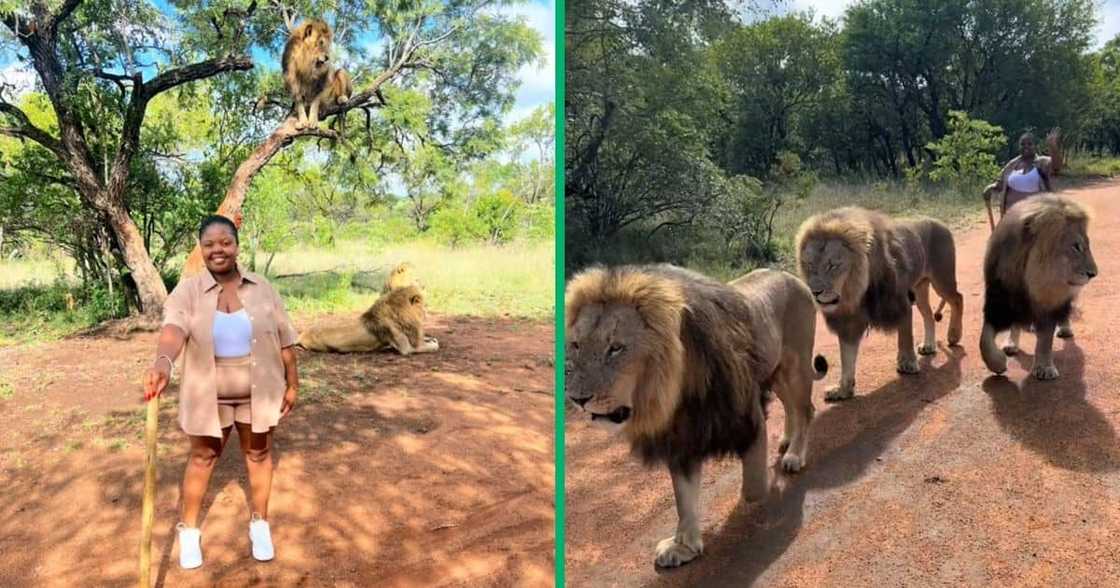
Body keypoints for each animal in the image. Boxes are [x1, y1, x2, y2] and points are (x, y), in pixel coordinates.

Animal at [297, 284, 436, 353]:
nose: (428, 314)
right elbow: (432, 347)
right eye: (426, 305)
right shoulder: (406, 349)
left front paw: (431, 338)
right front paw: (433, 343)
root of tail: (302, 334)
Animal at [564, 263, 828, 566]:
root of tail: (792, 277)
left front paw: (768, 495)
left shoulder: (749, 418)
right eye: (576, 345)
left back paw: (794, 455)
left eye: (616, 348)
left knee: (805, 408)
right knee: (790, 406)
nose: (577, 399)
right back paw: (787, 440)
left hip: (794, 366)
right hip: (776, 373)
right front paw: (684, 547)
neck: (676, 392)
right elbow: (684, 500)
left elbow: (752, 490)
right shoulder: (681, 439)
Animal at [797, 203, 963, 400]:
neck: (855, 290)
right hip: (920, 288)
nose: (815, 292)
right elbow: (847, 359)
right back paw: (929, 345)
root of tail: (939, 222)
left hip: (942, 279)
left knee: (958, 299)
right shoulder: (849, 321)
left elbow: (905, 336)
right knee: (929, 315)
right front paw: (843, 390)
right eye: (810, 265)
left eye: (832, 265)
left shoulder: (900, 303)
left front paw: (908, 363)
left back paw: (954, 335)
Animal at [981, 194, 1093, 378]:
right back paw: (1011, 344)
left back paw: (1065, 328)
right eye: (1076, 246)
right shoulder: (998, 302)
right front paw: (997, 364)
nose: (1093, 273)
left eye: (1087, 246)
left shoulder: (1050, 305)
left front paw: (1044, 368)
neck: (1030, 283)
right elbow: (984, 339)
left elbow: (1046, 339)